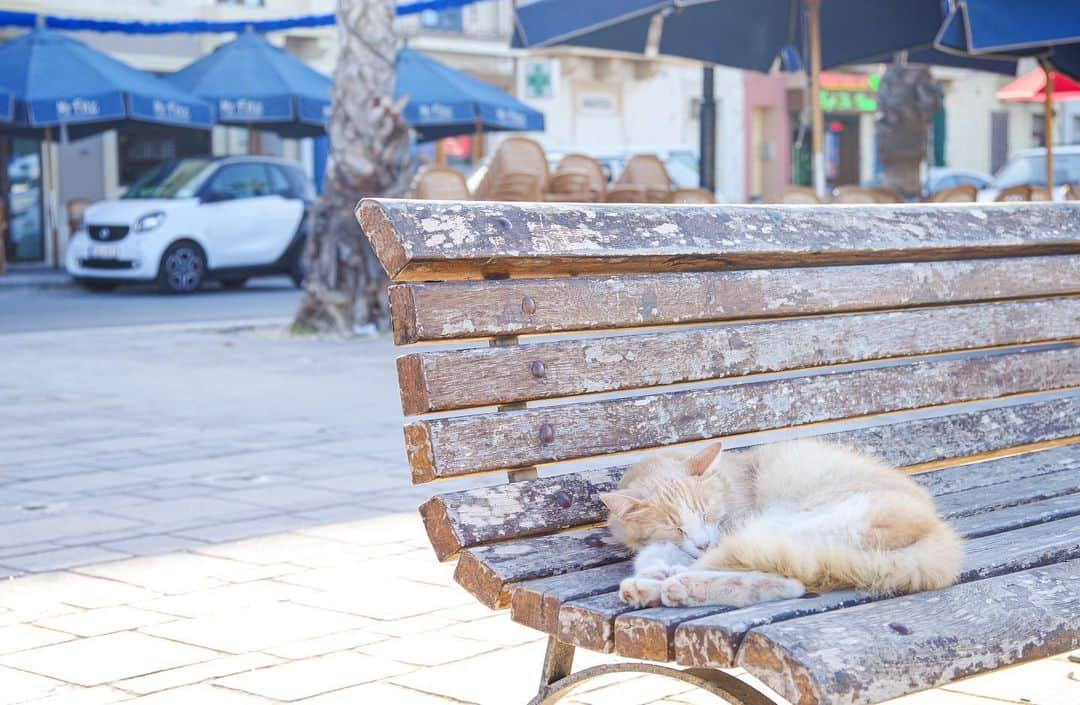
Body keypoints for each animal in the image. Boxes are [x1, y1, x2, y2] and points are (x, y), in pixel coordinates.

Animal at [600, 436, 963, 608]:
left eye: (708, 513)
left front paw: (661, 571)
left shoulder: (729, 527)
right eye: (676, 527)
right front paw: (656, 568)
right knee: (792, 581)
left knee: (758, 566)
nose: (701, 541)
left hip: (797, 521)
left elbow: (675, 554)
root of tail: (935, 528)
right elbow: (654, 551)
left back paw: (678, 585)